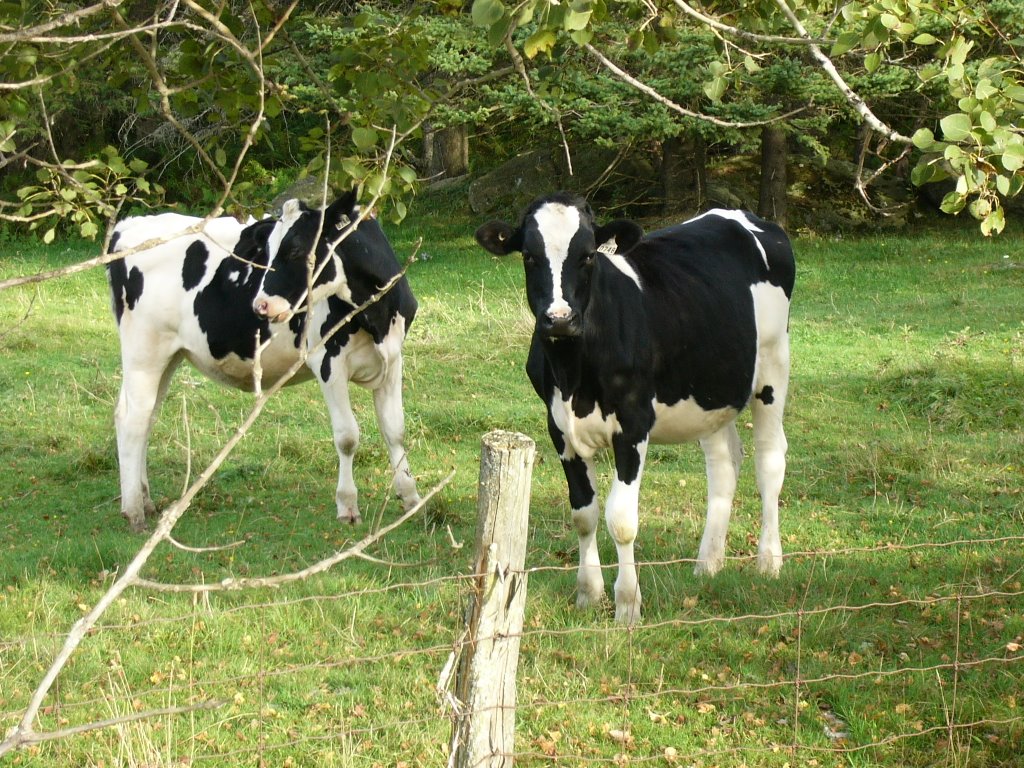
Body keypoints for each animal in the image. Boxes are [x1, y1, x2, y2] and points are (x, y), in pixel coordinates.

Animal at [105, 189, 417, 532]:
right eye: (266, 252)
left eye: (295, 249)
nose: (260, 305)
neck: (376, 316)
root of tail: (131, 226)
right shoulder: (328, 363)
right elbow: (347, 436)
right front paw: (347, 505)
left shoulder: (393, 358)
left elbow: (395, 429)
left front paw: (410, 496)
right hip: (143, 351)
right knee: (131, 419)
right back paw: (134, 510)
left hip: (168, 357)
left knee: (147, 417)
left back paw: (145, 501)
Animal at [475, 192, 794, 626]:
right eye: (528, 255)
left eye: (588, 256)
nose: (559, 319)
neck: (574, 374)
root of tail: (744, 215)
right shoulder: (559, 429)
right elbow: (584, 513)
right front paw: (588, 593)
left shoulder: (633, 423)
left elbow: (622, 520)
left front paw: (627, 604)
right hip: (711, 392)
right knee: (724, 464)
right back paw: (708, 563)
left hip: (773, 367)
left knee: (770, 460)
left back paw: (769, 561)